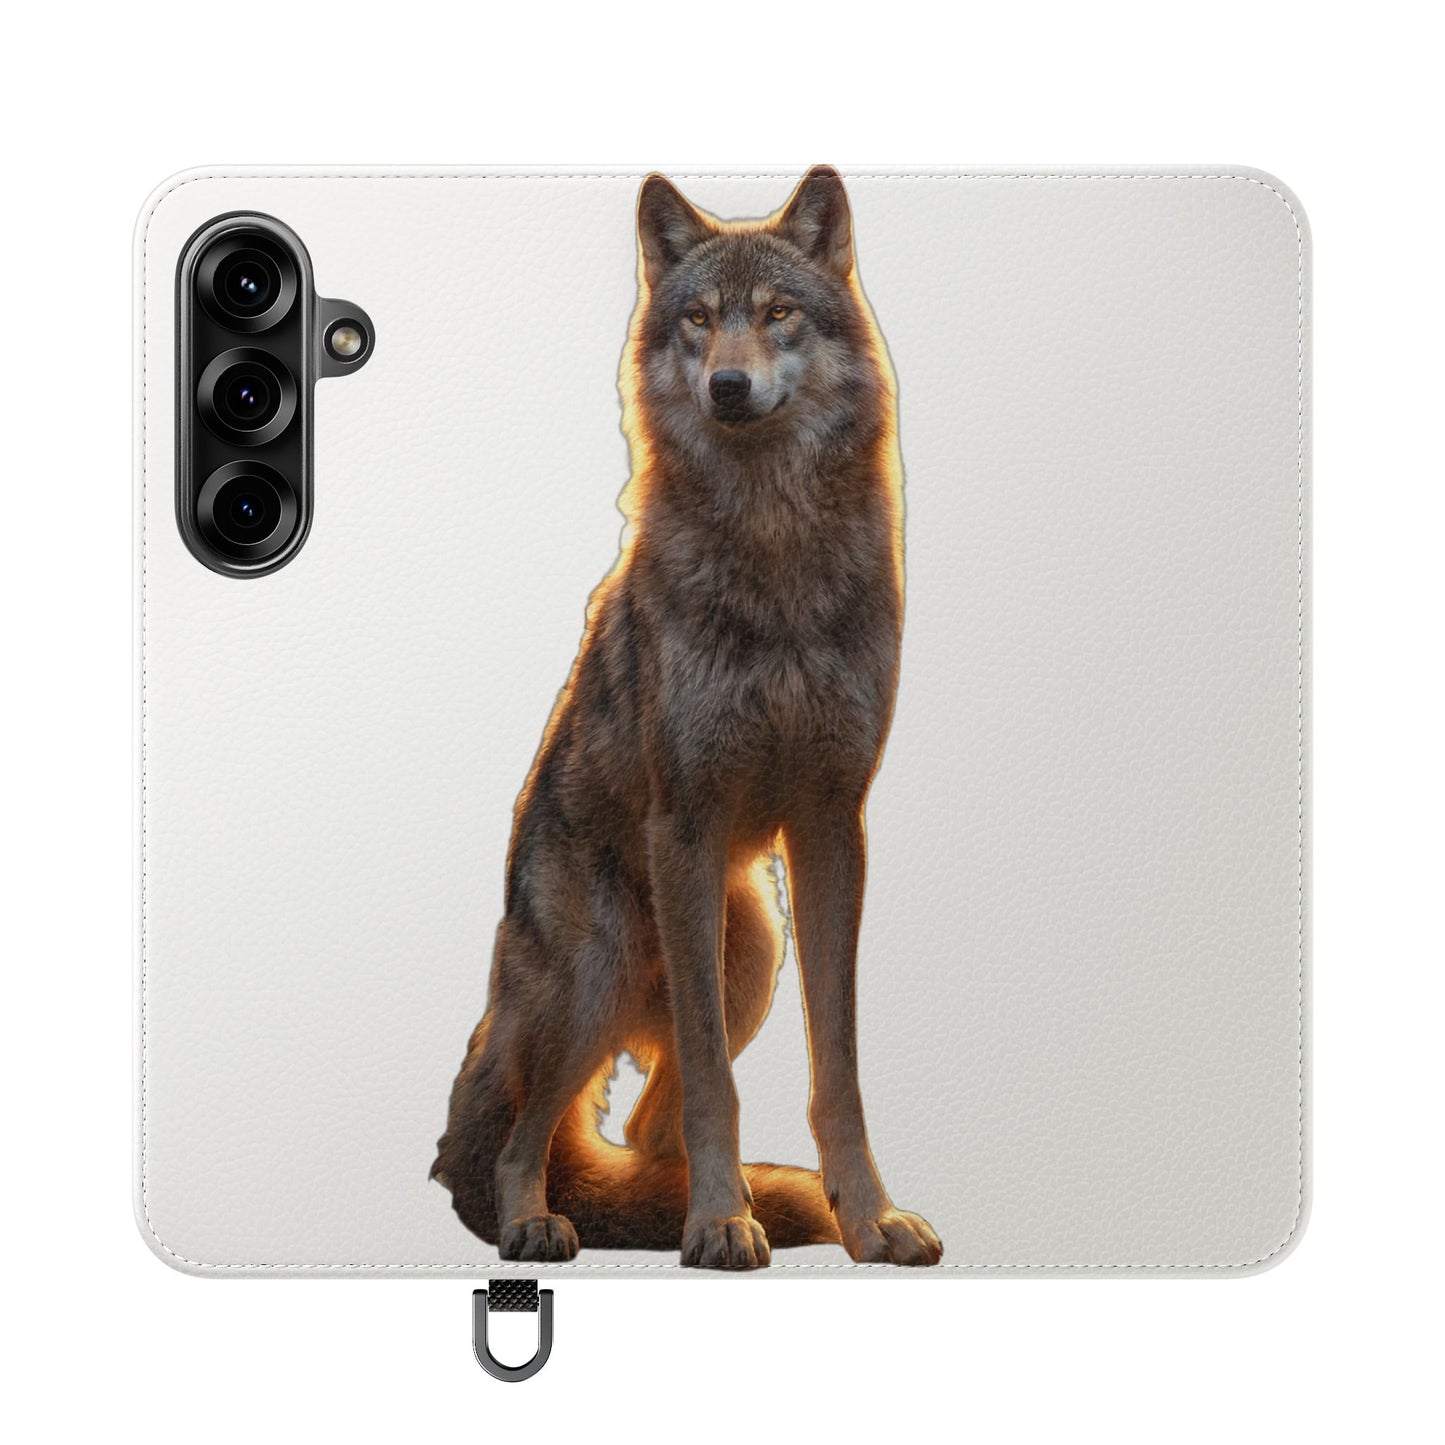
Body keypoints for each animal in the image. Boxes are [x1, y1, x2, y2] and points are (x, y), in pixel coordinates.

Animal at [432, 166, 941, 1270]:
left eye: (778, 313)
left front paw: (867, 1218)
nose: (727, 387)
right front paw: (716, 1223)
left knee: (640, 1124)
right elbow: (714, 1080)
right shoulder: (689, 823)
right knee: (523, 1134)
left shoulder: (832, 821)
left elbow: (835, 1068)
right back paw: (542, 1221)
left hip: (747, 949)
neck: (773, 542)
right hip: (600, 968)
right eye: (698, 320)